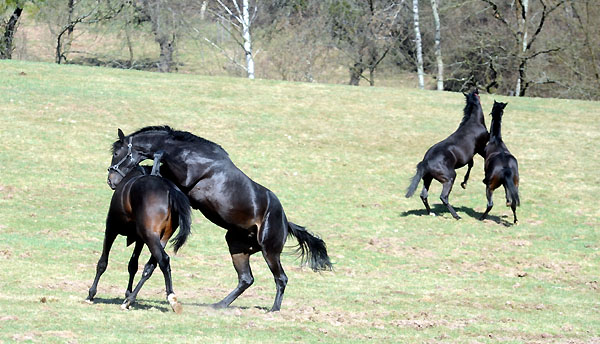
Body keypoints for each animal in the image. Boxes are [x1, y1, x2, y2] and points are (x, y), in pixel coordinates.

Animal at [85, 165, 190, 314]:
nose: (110, 179)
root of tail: (170, 190)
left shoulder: (111, 229)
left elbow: (102, 263)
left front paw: (91, 294)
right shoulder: (139, 239)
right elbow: (133, 265)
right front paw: (127, 293)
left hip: (150, 237)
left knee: (164, 260)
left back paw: (171, 298)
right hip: (159, 238)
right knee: (151, 266)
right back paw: (130, 299)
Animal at [108, 126, 332, 312]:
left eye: (117, 153)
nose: (111, 181)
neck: (188, 152)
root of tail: (286, 222)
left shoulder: (185, 177)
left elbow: (159, 155)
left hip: (270, 251)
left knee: (281, 278)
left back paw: (273, 310)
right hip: (237, 247)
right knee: (246, 279)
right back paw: (219, 304)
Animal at [406, 88, 490, 218]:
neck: (474, 122)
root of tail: (425, 161)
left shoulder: (470, 155)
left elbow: (470, 164)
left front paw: (464, 183)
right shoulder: (480, 149)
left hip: (428, 178)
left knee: (423, 195)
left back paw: (431, 213)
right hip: (449, 178)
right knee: (443, 197)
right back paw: (456, 216)